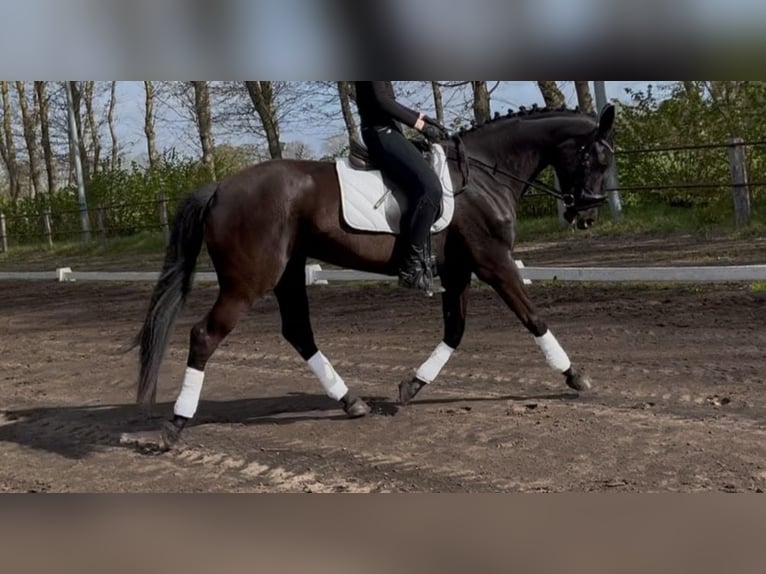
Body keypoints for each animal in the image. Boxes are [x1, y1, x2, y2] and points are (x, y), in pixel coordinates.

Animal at [136, 103, 617, 450]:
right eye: (595, 158)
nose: (587, 215)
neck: (484, 173)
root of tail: (220, 188)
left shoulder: (459, 269)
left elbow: (455, 331)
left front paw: (411, 387)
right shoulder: (492, 261)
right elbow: (533, 318)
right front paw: (575, 376)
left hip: (288, 272)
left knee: (298, 332)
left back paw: (351, 402)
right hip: (248, 281)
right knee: (205, 336)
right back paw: (175, 425)